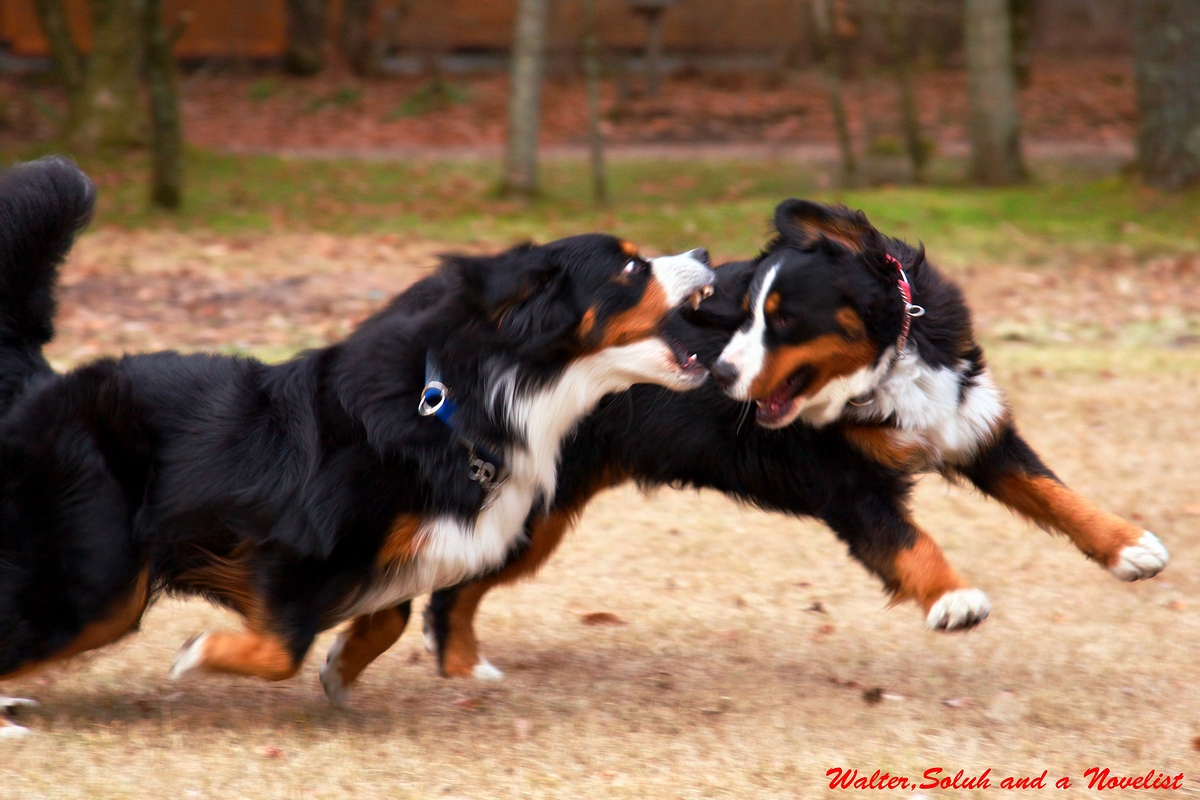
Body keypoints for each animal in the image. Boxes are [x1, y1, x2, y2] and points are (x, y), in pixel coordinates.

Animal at [0, 153, 710, 734]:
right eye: (629, 265)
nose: (706, 253)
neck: (475, 400)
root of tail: (42, 382)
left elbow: (386, 617)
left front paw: (341, 670)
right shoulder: (294, 543)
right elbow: (282, 647)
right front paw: (198, 655)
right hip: (103, 573)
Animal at [417, 195, 1166, 681]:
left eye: (781, 319)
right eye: (740, 316)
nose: (717, 373)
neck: (886, 365)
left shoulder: (969, 421)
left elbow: (1052, 492)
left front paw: (1130, 546)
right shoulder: (849, 487)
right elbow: (911, 542)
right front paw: (955, 599)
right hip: (524, 516)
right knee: (449, 592)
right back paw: (462, 673)